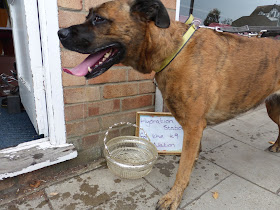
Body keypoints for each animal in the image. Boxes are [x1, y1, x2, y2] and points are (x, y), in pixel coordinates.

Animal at [58, 0, 280, 209]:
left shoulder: (193, 126)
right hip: (274, 107)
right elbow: (190, 159)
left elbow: (183, 169)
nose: (60, 33)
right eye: (88, 16)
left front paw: (174, 197)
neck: (173, 50)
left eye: (99, 19)